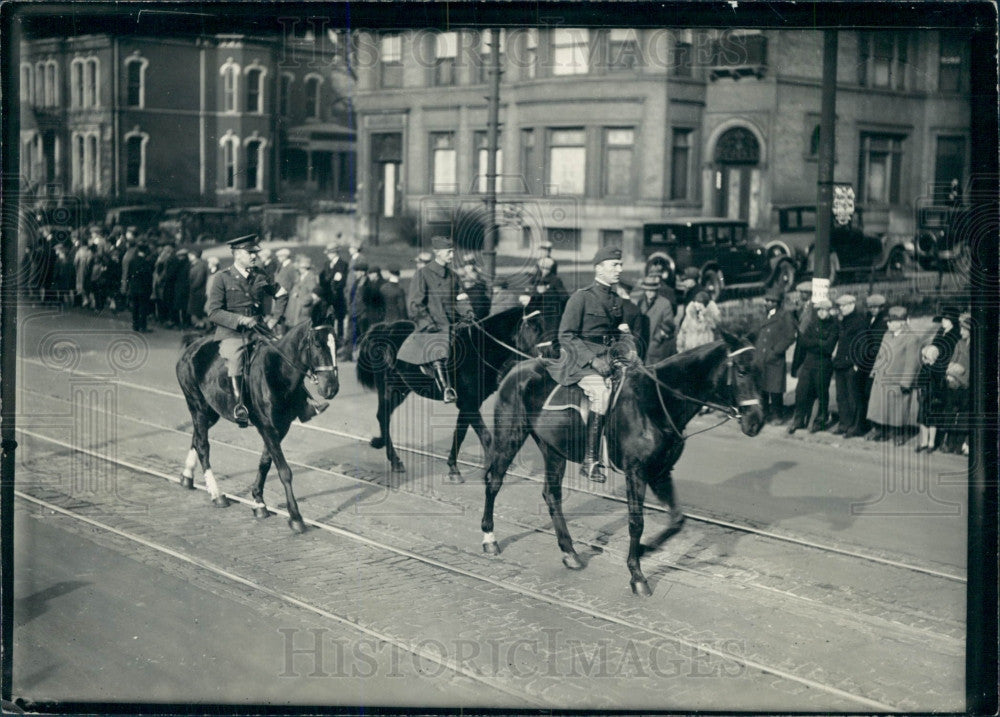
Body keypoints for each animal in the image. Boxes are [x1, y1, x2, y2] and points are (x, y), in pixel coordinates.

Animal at [176, 318, 340, 532]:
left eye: (336, 344)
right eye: (318, 344)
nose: (332, 388)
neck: (278, 371)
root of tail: (192, 346)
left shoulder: (281, 427)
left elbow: (265, 463)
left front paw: (258, 502)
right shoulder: (267, 427)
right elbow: (284, 471)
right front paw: (295, 517)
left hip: (211, 413)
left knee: (196, 438)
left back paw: (187, 476)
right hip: (197, 407)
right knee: (203, 445)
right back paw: (217, 494)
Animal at [360, 306, 544, 482]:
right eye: (535, 328)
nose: (546, 359)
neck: (478, 349)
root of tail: (385, 328)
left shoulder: (469, 404)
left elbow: (460, 434)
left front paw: (453, 469)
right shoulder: (469, 404)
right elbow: (486, 436)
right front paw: (488, 470)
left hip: (401, 390)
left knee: (384, 416)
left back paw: (383, 447)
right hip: (390, 389)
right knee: (383, 416)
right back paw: (393, 458)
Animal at [480, 332, 760, 596]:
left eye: (761, 367)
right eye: (742, 370)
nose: (756, 421)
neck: (654, 402)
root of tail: (518, 367)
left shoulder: (660, 472)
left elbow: (676, 520)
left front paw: (646, 548)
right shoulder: (636, 472)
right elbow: (636, 523)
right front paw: (637, 575)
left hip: (553, 450)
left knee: (551, 495)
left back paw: (570, 552)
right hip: (510, 436)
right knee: (494, 481)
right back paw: (489, 538)